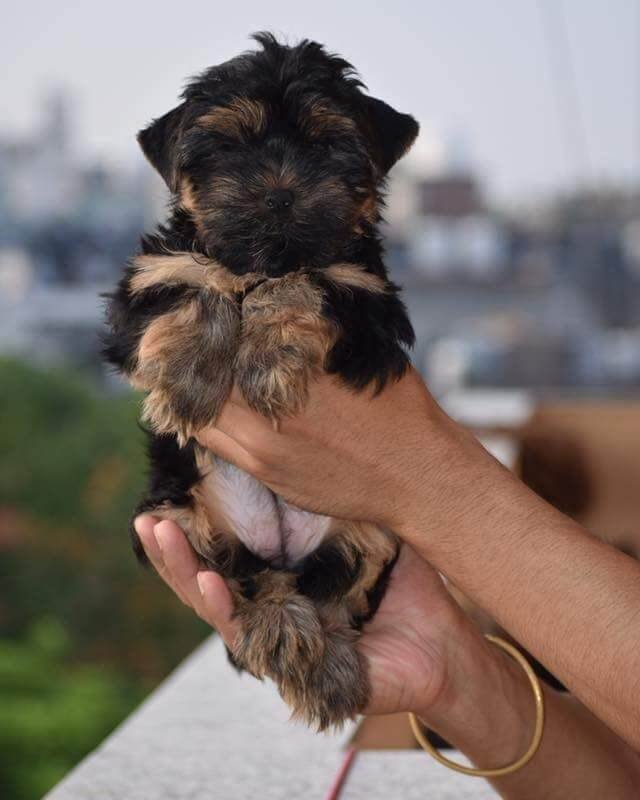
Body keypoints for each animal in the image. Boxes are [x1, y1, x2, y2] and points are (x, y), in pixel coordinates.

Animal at [104, 34, 418, 728]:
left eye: (326, 145)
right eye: (230, 147)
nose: (277, 194)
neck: (259, 258)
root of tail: (278, 549)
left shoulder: (372, 310)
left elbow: (306, 280)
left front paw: (267, 359)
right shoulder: (144, 285)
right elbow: (197, 281)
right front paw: (193, 377)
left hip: (372, 529)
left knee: (333, 589)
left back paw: (326, 662)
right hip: (180, 514)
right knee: (250, 580)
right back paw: (283, 629)